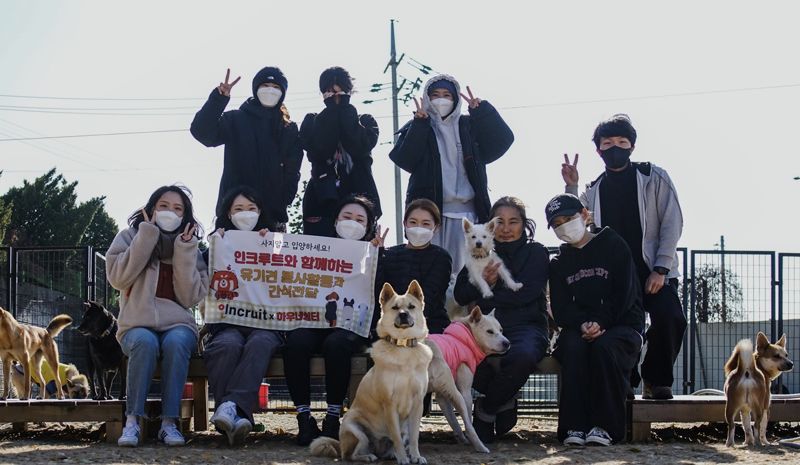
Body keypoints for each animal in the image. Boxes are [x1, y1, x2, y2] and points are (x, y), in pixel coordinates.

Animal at [310, 280, 434, 462]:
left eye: (411, 307)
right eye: (395, 308)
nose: (403, 315)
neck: (403, 347)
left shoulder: (417, 403)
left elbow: (414, 437)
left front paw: (415, 456)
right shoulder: (389, 404)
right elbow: (396, 436)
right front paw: (404, 459)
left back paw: (391, 454)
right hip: (354, 428)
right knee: (349, 455)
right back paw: (368, 456)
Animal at [422, 306, 510, 452]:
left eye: (501, 330)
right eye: (489, 331)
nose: (507, 343)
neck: (465, 338)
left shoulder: (442, 396)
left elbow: (453, 420)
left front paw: (461, 438)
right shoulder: (465, 392)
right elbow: (467, 418)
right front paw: (468, 438)